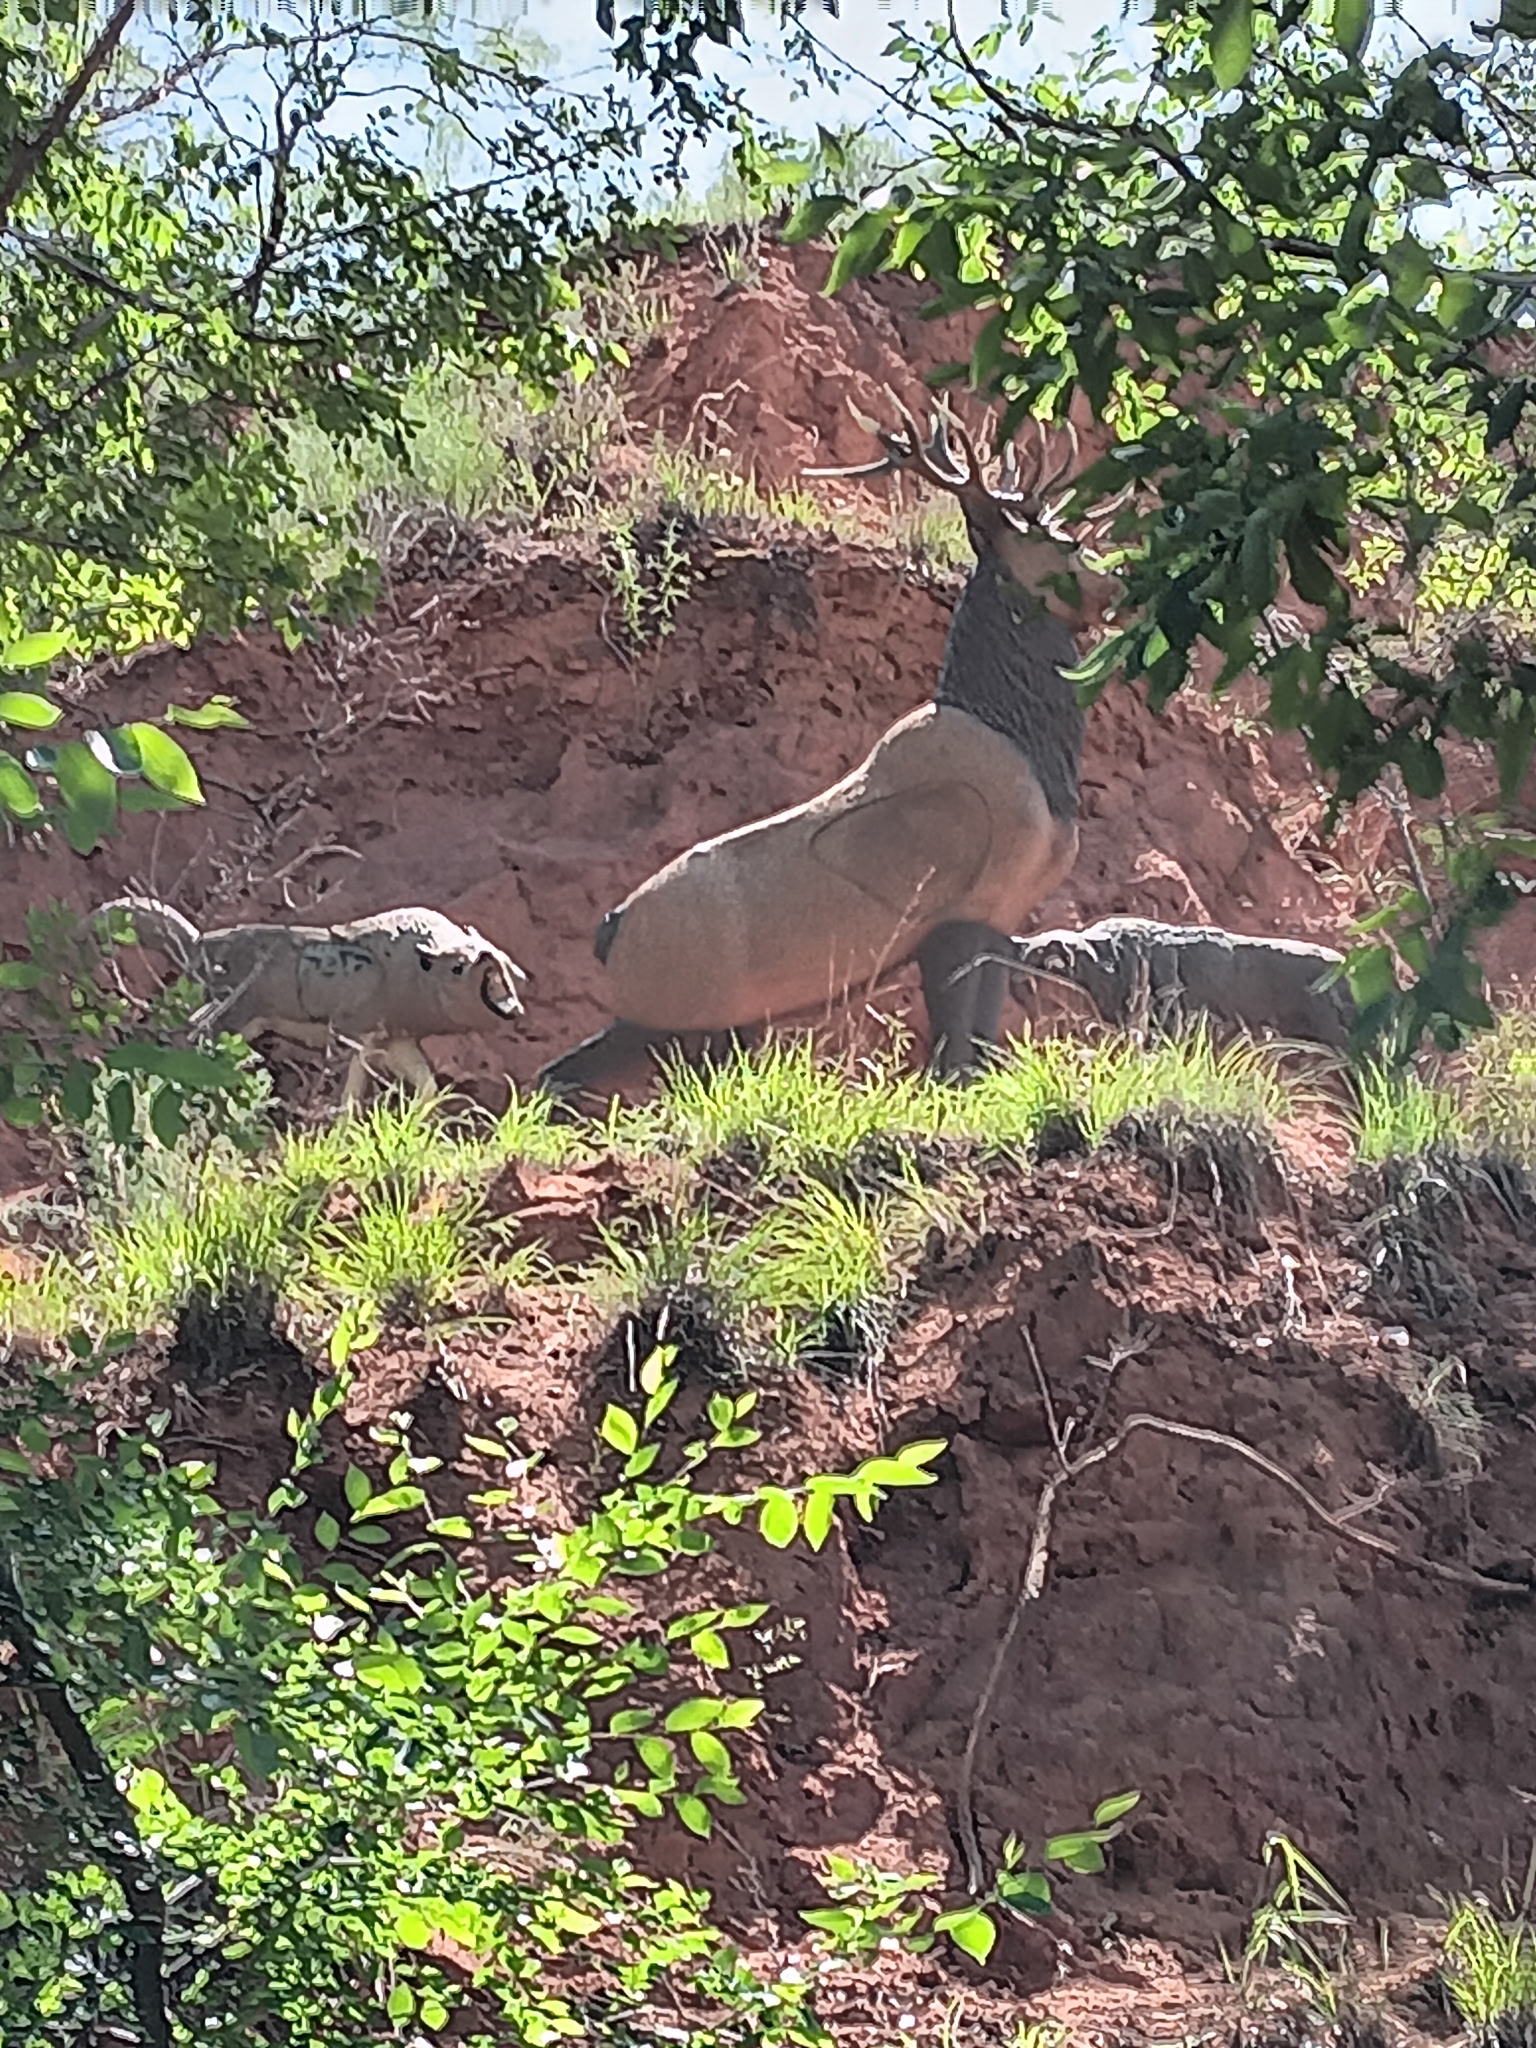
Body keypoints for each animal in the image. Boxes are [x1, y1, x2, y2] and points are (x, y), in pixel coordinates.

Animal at [535, 391, 1120, 1105]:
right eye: (1060, 543)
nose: (1116, 588)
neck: (1032, 749)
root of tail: (609, 929)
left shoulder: (1000, 919)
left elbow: (982, 1046)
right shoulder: (956, 915)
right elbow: (955, 1056)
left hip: (703, 1026)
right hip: (663, 1017)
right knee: (558, 1074)